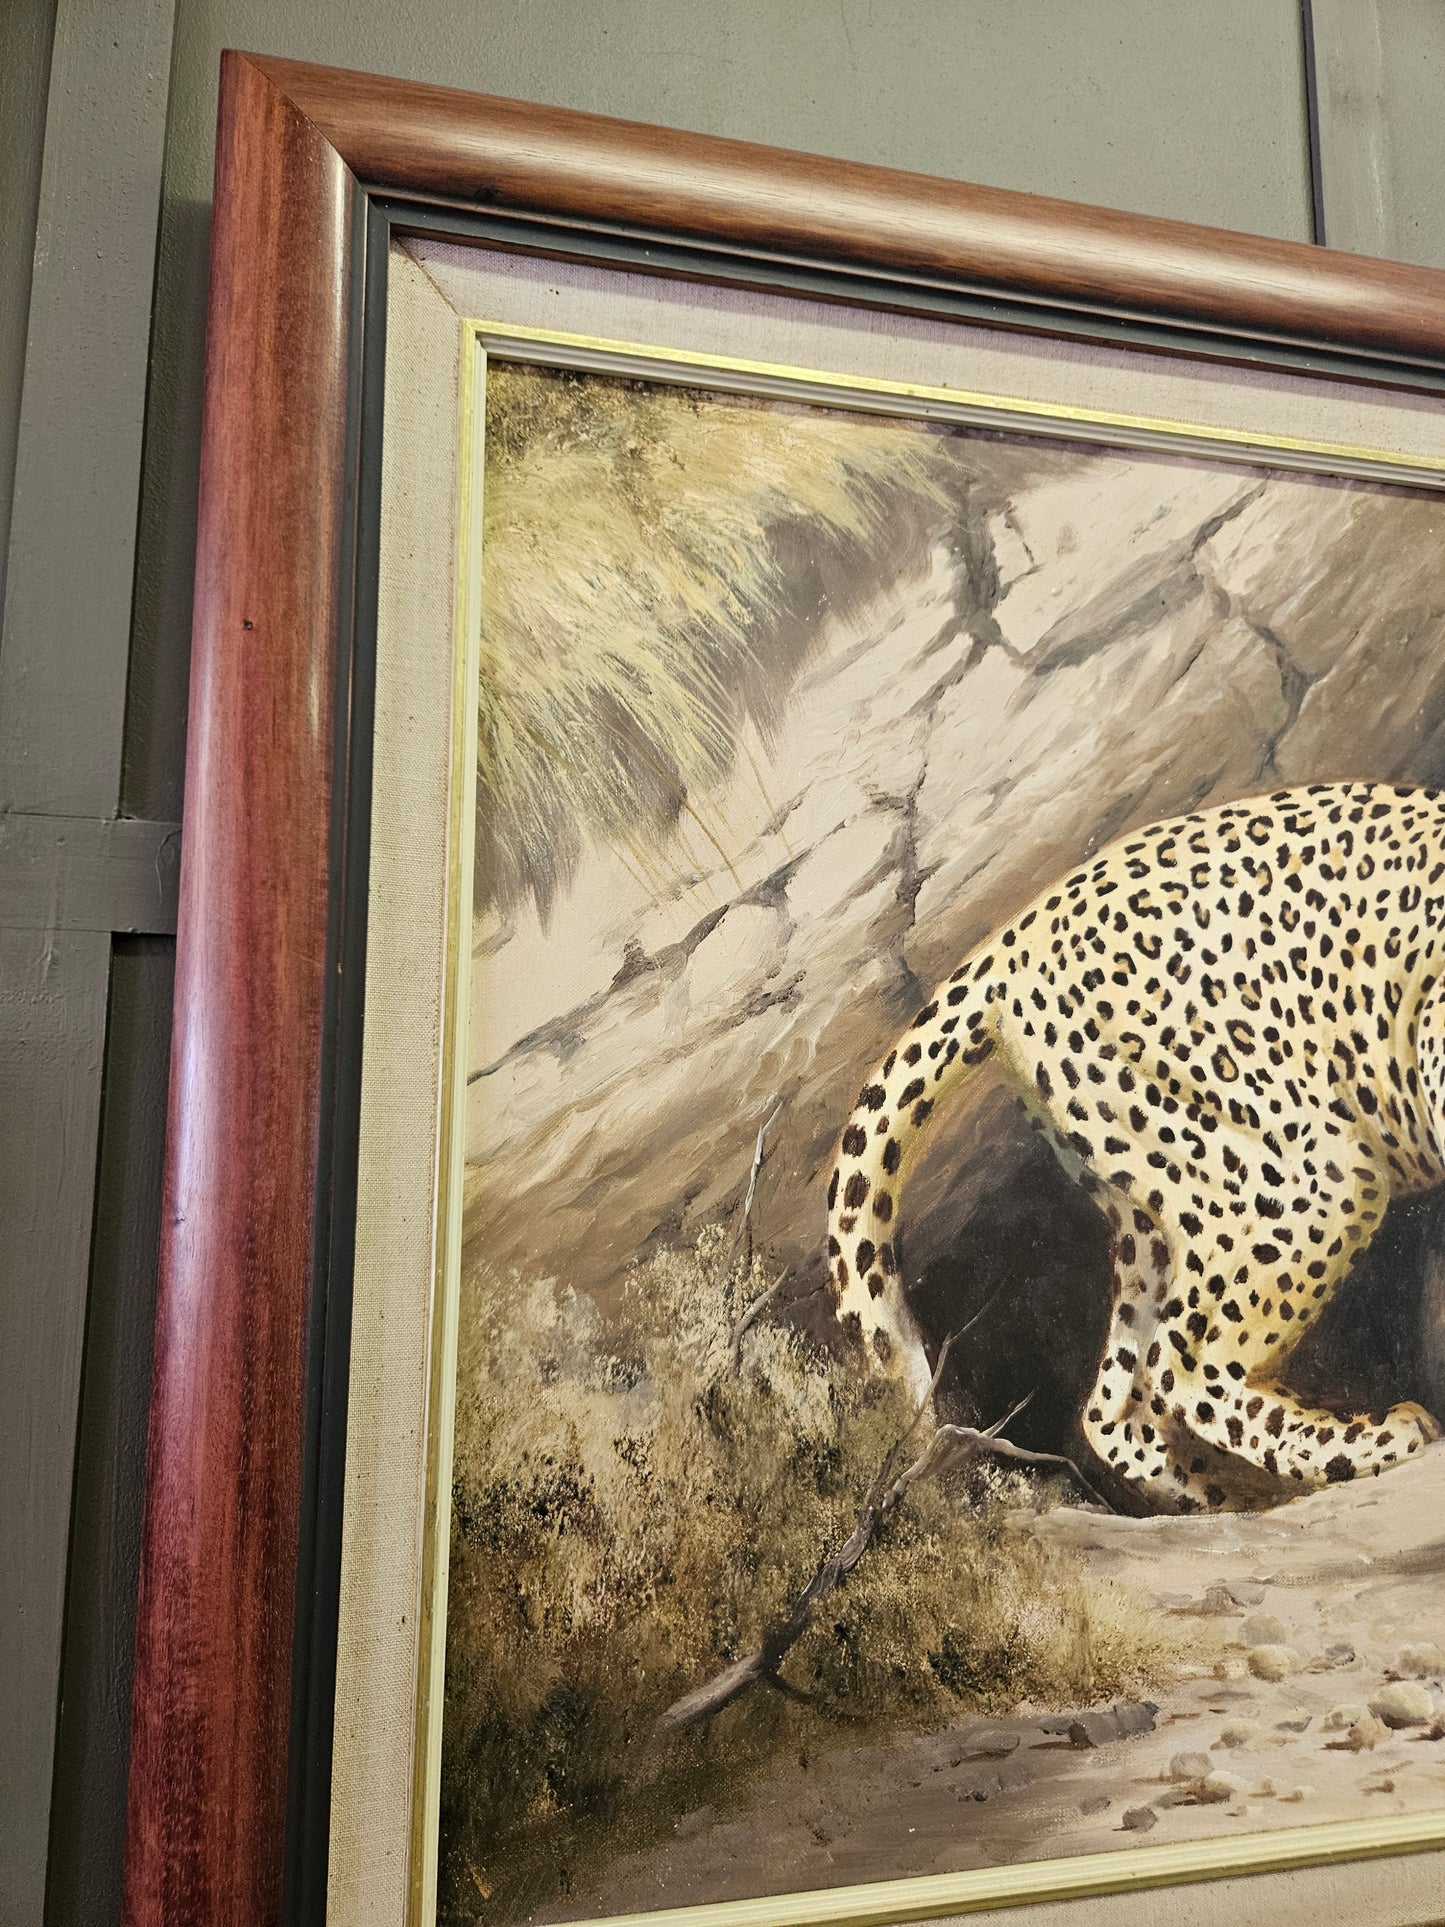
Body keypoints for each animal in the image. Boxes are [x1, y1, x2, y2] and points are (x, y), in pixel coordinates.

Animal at [824, 780, 1445, 1511]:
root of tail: (1013, 941)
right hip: (1309, 1173)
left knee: (1117, 1399)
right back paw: (1369, 1441)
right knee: (1188, 1364)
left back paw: (1220, 1499)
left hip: (1156, 1201)